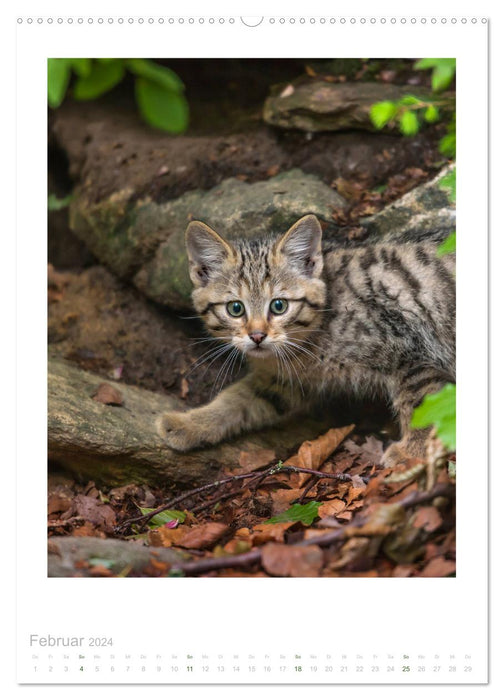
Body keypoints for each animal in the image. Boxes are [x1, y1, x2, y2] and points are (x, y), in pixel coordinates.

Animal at [159, 216, 454, 468]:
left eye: (279, 306)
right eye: (235, 308)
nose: (257, 336)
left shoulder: (410, 351)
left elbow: (421, 402)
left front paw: (413, 451)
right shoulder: (285, 382)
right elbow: (238, 399)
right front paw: (189, 423)